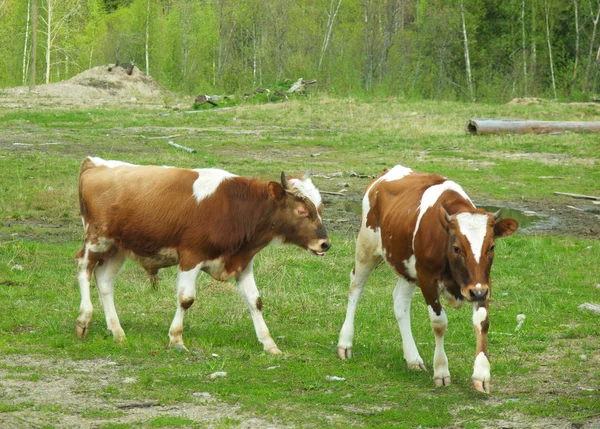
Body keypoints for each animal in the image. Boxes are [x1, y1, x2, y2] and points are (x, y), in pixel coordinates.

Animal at [77, 156, 330, 352]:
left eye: (320, 208)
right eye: (301, 210)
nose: (325, 244)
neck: (237, 207)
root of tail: (94, 163)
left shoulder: (243, 261)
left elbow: (255, 301)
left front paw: (269, 344)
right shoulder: (191, 257)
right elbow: (186, 299)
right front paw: (176, 339)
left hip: (118, 248)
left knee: (105, 281)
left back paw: (117, 332)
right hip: (97, 239)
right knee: (84, 268)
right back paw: (84, 318)